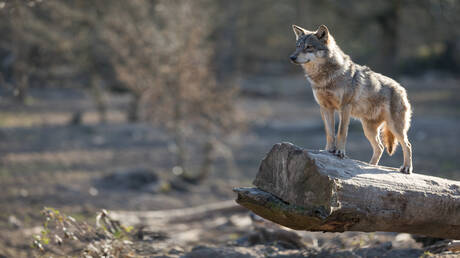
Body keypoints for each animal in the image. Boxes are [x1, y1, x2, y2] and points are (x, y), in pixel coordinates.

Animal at [290, 24, 412, 173]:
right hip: (368, 130)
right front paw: (328, 150)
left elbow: (341, 132)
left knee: (407, 145)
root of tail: (401, 88)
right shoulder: (325, 108)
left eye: (308, 47)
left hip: (395, 127)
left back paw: (406, 168)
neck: (325, 77)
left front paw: (340, 152)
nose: (292, 57)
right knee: (380, 147)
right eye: (298, 46)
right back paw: (370, 166)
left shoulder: (344, 107)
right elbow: (330, 132)